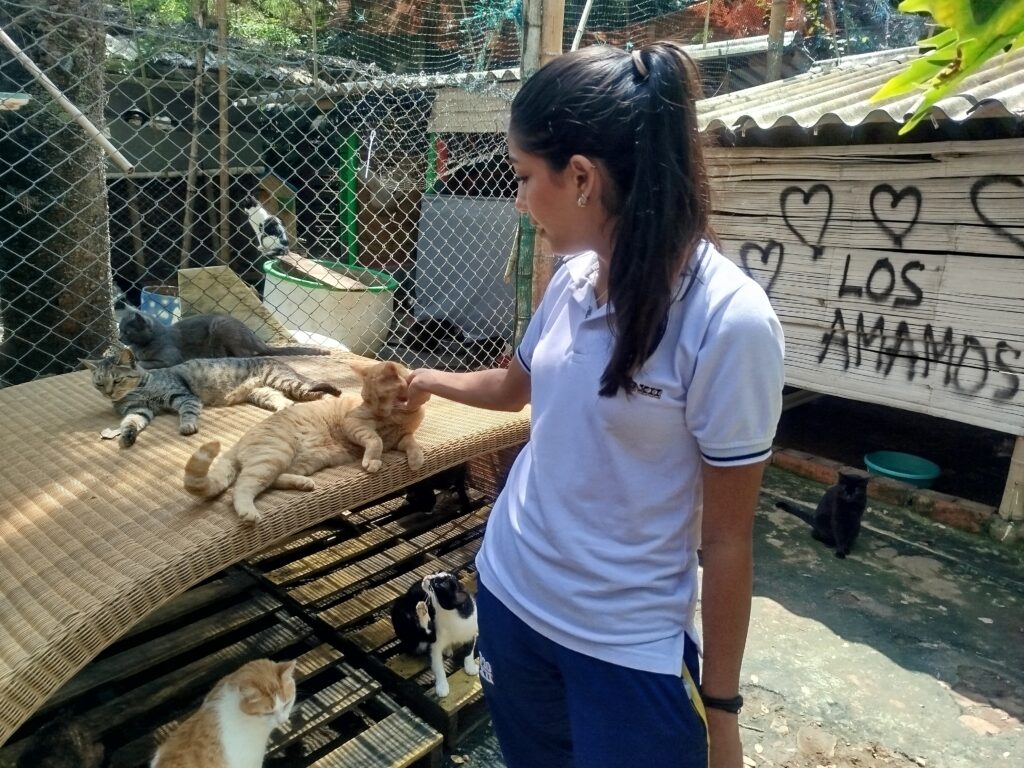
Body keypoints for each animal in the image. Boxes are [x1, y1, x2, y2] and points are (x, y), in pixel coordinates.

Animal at [82, 348, 339, 448]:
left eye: (117, 381)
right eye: (99, 383)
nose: (108, 393)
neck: (141, 390)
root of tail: (275, 359)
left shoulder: (183, 396)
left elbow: (187, 414)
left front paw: (187, 426)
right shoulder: (138, 410)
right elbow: (130, 423)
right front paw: (126, 435)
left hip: (288, 383)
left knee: (322, 392)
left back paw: (332, 395)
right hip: (265, 394)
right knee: (288, 403)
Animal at [119, 309, 327, 370]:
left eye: (127, 332)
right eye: (120, 329)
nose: (120, 337)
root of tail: (257, 339)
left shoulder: (170, 359)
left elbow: (146, 362)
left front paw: (139, 363)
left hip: (221, 325)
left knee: (244, 356)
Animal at [183, 360, 423, 524]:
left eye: (380, 398)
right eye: (367, 399)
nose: (376, 411)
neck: (400, 415)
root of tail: (239, 442)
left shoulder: (400, 439)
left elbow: (412, 443)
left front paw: (416, 461)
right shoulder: (355, 424)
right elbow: (375, 441)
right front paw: (372, 462)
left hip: (303, 460)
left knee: (273, 480)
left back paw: (303, 483)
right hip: (274, 455)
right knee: (242, 486)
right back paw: (248, 512)